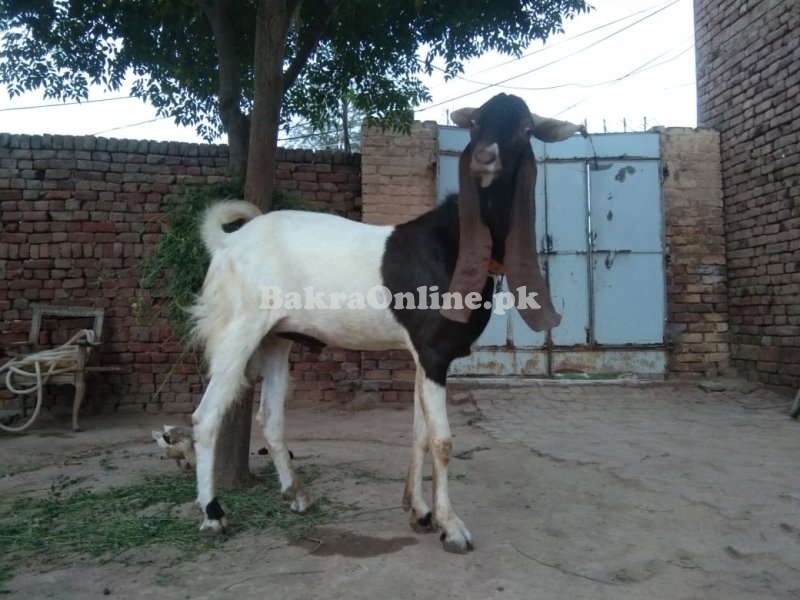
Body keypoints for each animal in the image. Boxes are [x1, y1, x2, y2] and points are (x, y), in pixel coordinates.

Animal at [191, 94, 584, 552]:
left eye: (525, 129)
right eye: (474, 125)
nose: (484, 160)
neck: (453, 244)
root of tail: (227, 242)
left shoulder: (423, 354)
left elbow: (419, 433)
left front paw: (419, 511)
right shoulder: (433, 351)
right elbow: (442, 440)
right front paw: (452, 527)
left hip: (275, 337)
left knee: (269, 417)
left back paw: (299, 495)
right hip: (239, 327)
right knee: (206, 417)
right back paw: (213, 514)